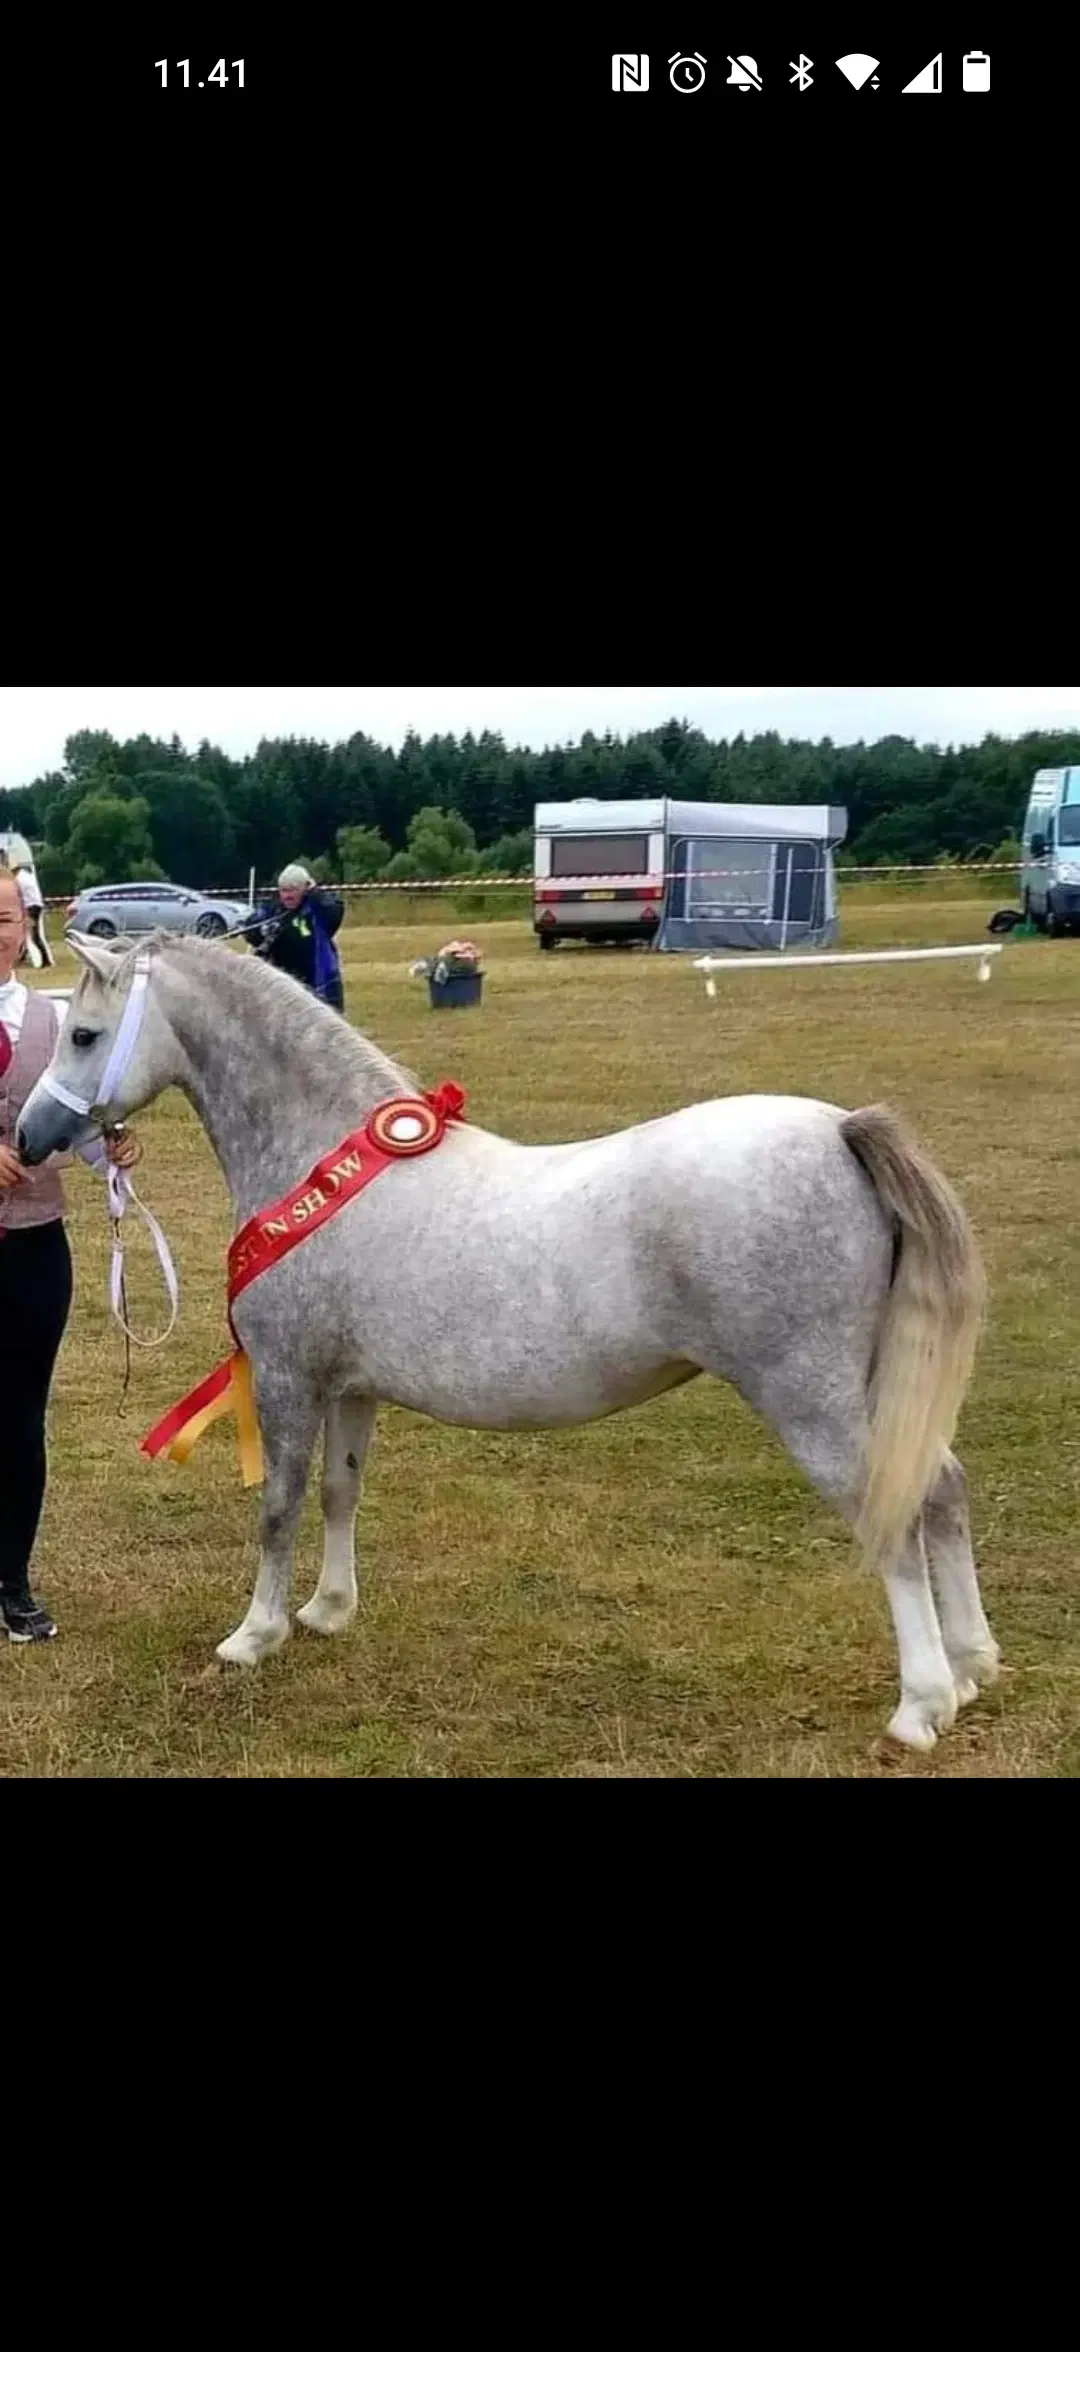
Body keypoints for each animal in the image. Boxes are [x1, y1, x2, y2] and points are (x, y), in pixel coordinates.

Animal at [14, 921, 1003, 1747]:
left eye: (86, 1035)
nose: (28, 1137)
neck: (321, 1160)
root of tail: (841, 1132)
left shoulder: (291, 1379)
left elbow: (279, 1507)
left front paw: (254, 1635)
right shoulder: (352, 1389)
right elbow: (340, 1494)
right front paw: (329, 1611)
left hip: (812, 1399)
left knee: (893, 1517)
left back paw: (921, 1706)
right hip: (873, 1385)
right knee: (942, 1491)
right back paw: (973, 1667)